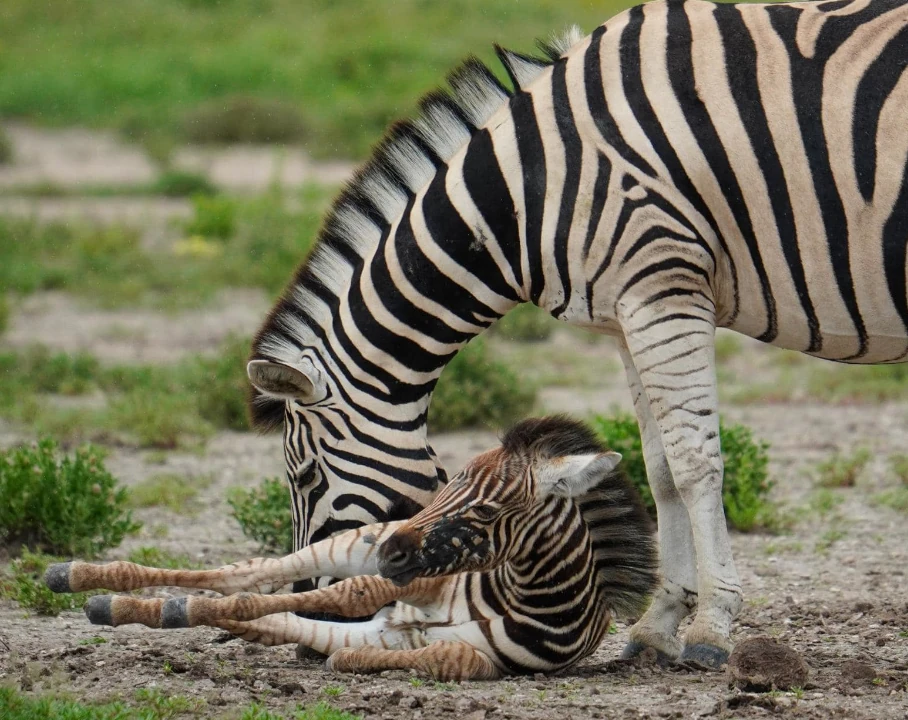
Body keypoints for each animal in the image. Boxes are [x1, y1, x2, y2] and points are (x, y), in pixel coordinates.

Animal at [45, 417, 659, 681]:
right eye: (448, 487)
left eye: (486, 512)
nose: (392, 550)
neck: (526, 597)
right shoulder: (419, 583)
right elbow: (341, 596)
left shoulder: (412, 638)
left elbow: (346, 644)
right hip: (346, 544)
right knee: (247, 573)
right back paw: (80, 577)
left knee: (251, 597)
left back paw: (146, 606)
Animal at [244, 0, 908, 668]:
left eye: (305, 477)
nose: (312, 628)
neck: (525, 194)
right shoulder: (627, 312)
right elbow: (658, 466)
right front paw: (657, 625)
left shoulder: (664, 285)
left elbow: (695, 462)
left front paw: (712, 628)